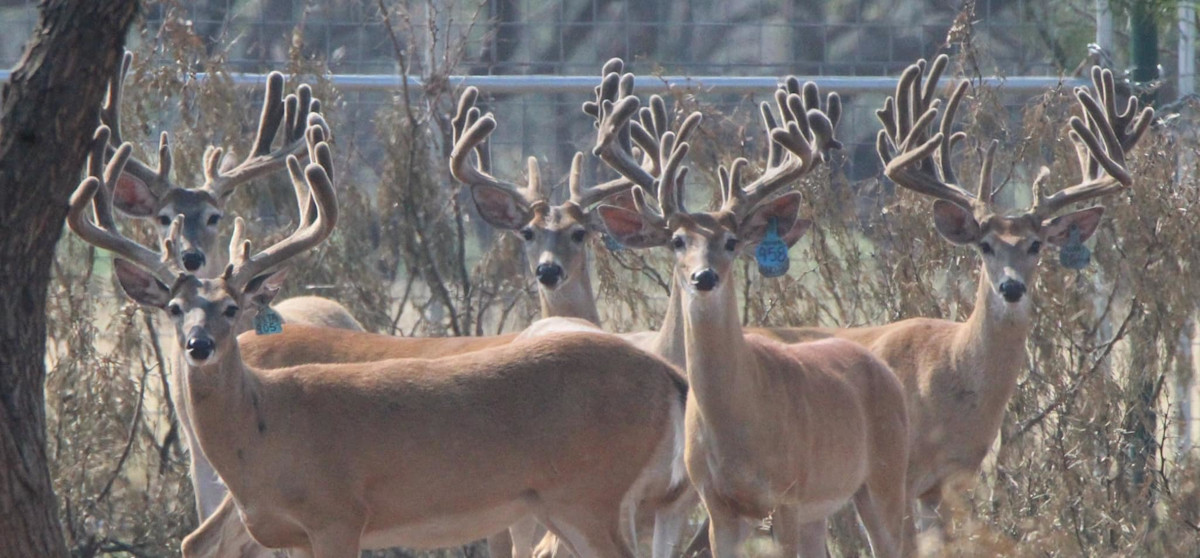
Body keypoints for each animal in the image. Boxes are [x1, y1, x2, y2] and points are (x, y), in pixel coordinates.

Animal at [69, 124, 689, 558]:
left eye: (230, 308)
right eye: (174, 309)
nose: (198, 345)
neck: (265, 427)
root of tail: (670, 376)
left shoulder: (338, 515)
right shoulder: (293, 535)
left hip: (594, 490)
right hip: (571, 502)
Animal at [593, 72, 910, 558]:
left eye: (730, 241)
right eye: (678, 241)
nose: (704, 277)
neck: (739, 420)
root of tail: (881, 368)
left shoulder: (786, 496)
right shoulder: (716, 505)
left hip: (885, 475)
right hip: (825, 506)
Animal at [761, 55, 1154, 551]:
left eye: (1036, 245)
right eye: (985, 245)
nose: (1011, 288)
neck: (946, 375)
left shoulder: (947, 482)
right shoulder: (897, 474)